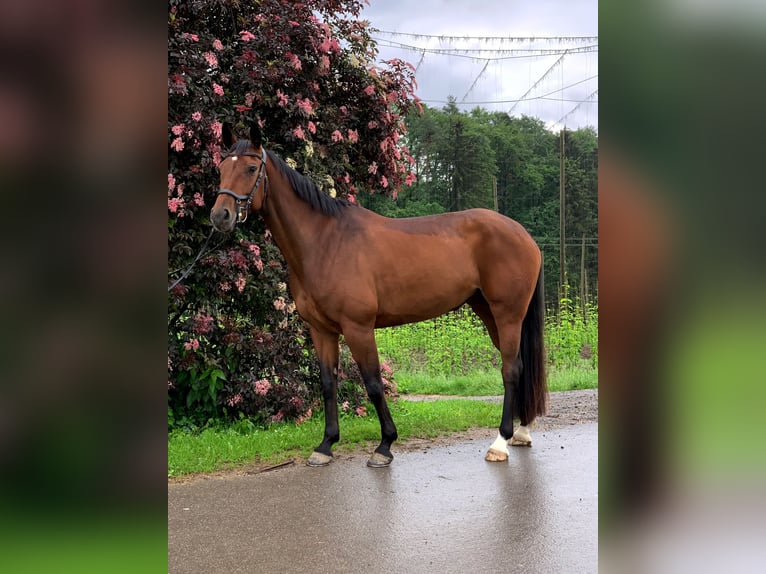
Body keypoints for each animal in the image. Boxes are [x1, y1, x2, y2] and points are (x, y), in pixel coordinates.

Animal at [210, 124, 544, 470]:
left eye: (251, 169)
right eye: (220, 168)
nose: (220, 216)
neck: (326, 242)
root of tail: (524, 235)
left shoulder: (358, 327)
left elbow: (372, 384)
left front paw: (384, 445)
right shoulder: (321, 330)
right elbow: (328, 384)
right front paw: (326, 445)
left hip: (507, 314)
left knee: (510, 369)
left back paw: (500, 442)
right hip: (488, 312)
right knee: (519, 365)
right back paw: (521, 431)